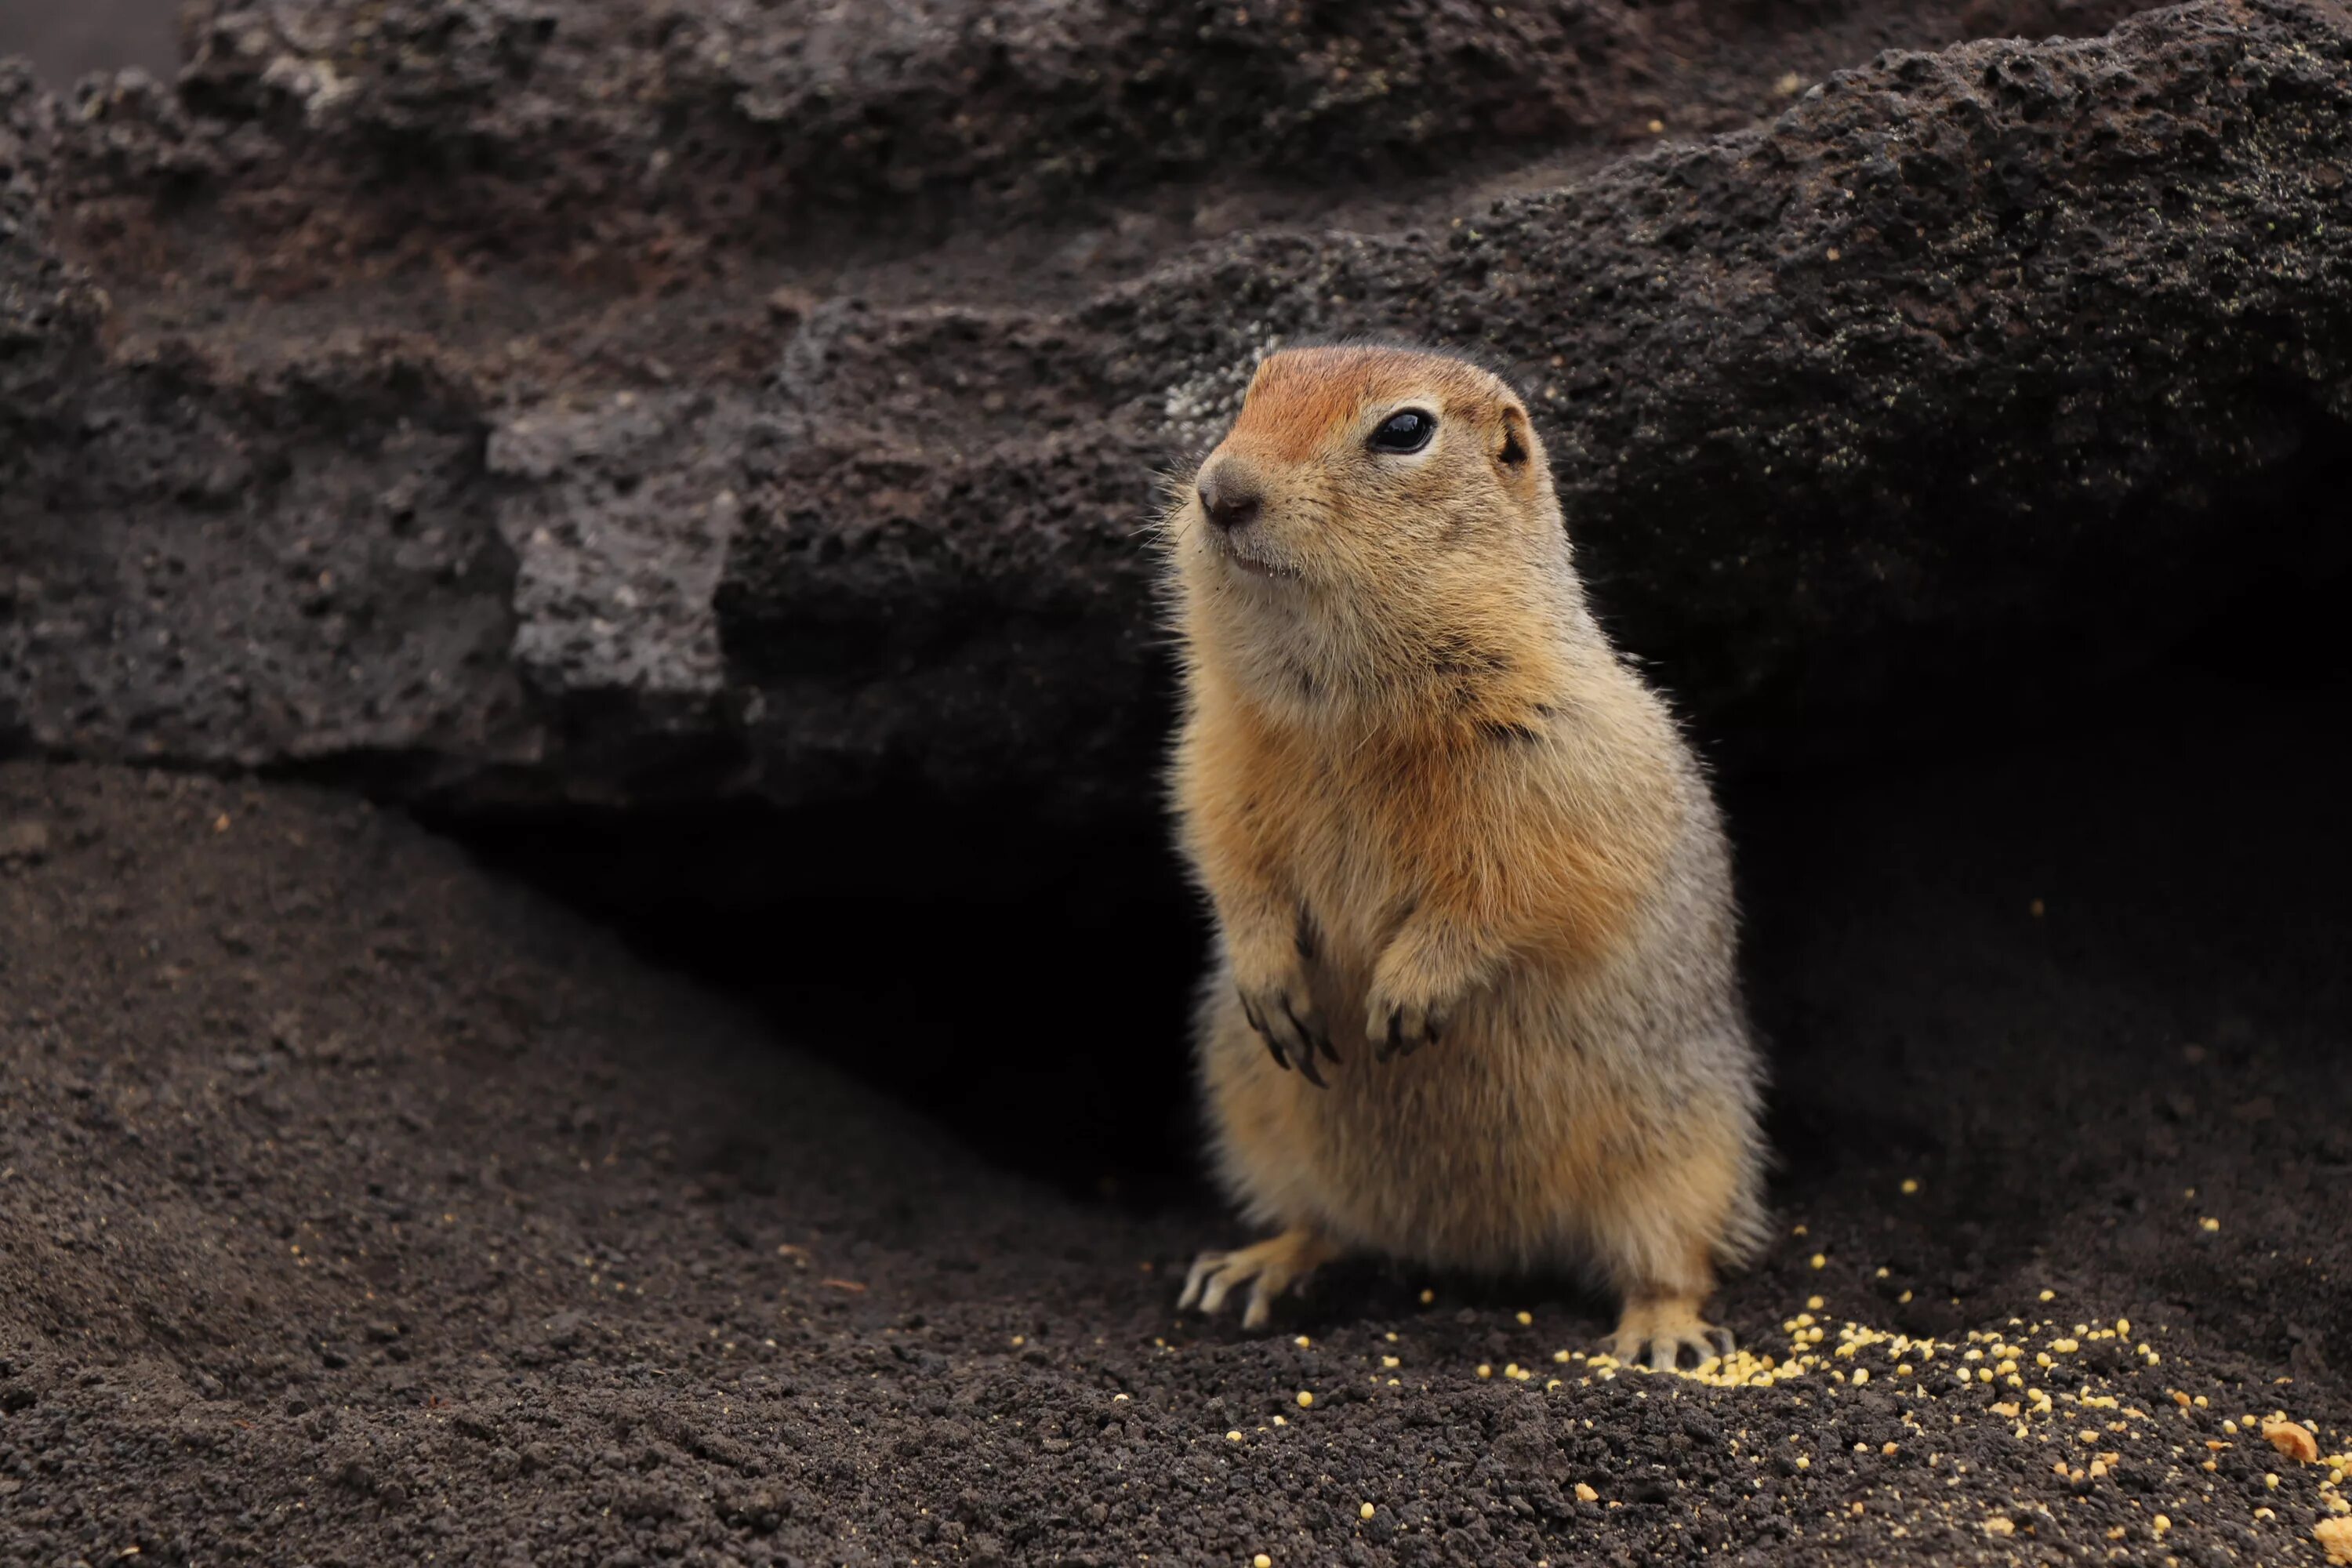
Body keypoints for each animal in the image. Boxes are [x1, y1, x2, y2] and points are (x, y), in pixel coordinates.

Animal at [1157, 345, 1769, 1373]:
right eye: (1253, 389)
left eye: (1406, 429)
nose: (1222, 491)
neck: (1340, 703)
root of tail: (1474, 1249)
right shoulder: (1217, 748)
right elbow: (1228, 856)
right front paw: (1269, 971)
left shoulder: (1556, 765)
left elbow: (1511, 893)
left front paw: (1409, 991)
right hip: (1257, 1111)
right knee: (1325, 1221)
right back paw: (1258, 1263)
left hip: (1687, 1140)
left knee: (1671, 1254)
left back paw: (1661, 1332)